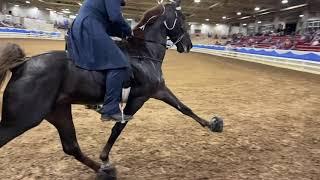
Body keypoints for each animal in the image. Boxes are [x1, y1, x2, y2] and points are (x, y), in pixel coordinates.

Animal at [0, 1, 222, 179]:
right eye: (182, 19)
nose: (189, 45)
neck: (144, 54)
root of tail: (21, 65)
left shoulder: (158, 90)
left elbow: (184, 108)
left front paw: (213, 124)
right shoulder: (139, 98)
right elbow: (118, 127)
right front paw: (104, 156)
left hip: (58, 111)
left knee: (71, 147)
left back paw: (104, 171)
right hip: (23, 119)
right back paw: (104, 168)